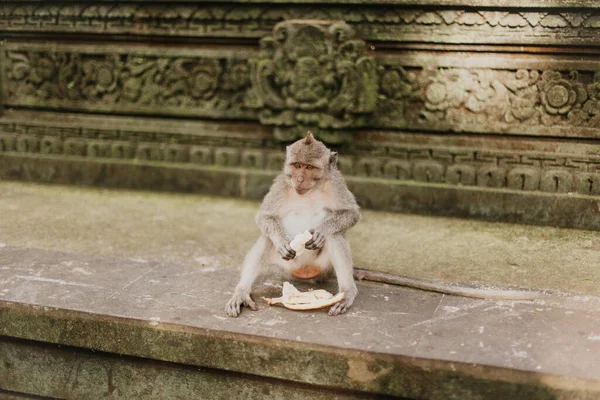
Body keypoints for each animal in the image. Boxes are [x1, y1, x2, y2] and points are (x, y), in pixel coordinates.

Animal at [225, 130, 358, 316]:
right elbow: (264, 216)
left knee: (335, 235)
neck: (310, 190)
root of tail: (305, 272)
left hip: (323, 269)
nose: (300, 178)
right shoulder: (281, 183)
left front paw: (321, 232)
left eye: (309, 167)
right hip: (286, 267)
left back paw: (346, 293)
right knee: (266, 238)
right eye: (297, 165)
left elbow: (351, 213)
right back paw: (242, 292)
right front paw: (281, 241)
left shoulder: (336, 183)